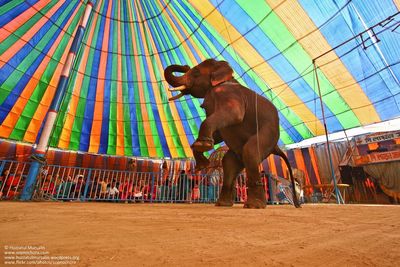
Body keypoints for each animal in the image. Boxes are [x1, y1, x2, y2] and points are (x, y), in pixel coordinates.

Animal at [163, 58, 300, 209]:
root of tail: (276, 147)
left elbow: (234, 114)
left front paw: (203, 145)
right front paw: (202, 162)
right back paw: (223, 204)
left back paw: (254, 206)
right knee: (228, 162)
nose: (185, 65)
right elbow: (218, 133)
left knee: (250, 151)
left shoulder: (230, 95)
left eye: (196, 73)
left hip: (268, 134)